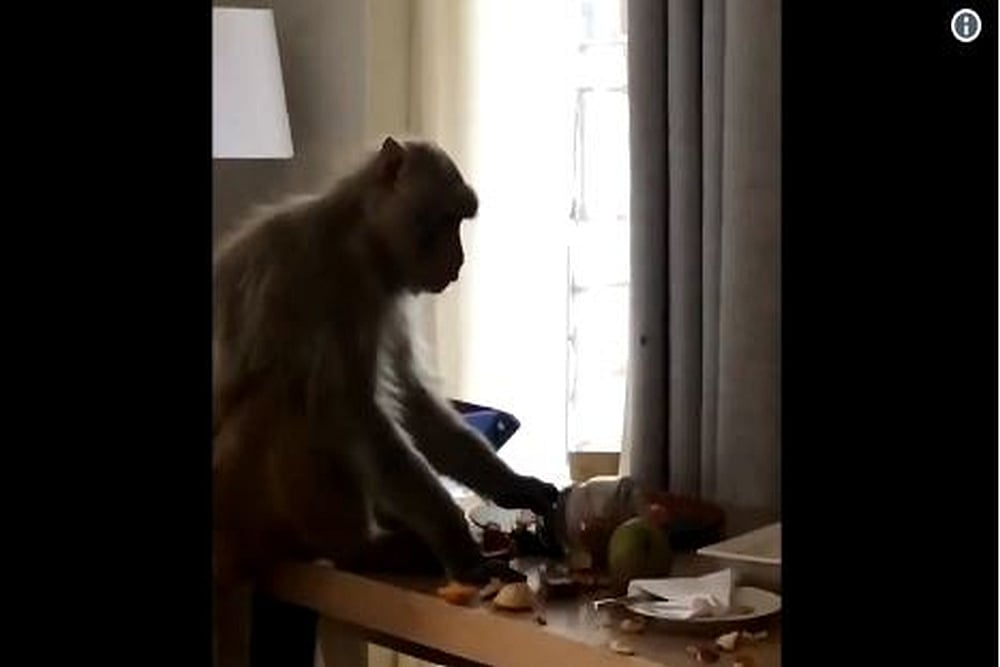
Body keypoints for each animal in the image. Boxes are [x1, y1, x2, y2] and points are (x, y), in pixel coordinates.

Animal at [212, 136, 559, 595]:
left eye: (460, 220)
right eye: (447, 219)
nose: (459, 260)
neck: (358, 237)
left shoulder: (384, 293)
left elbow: (409, 398)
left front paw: (512, 485)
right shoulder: (320, 276)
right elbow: (355, 411)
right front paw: (458, 544)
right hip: (238, 498)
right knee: (294, 396)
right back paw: (360, 550)